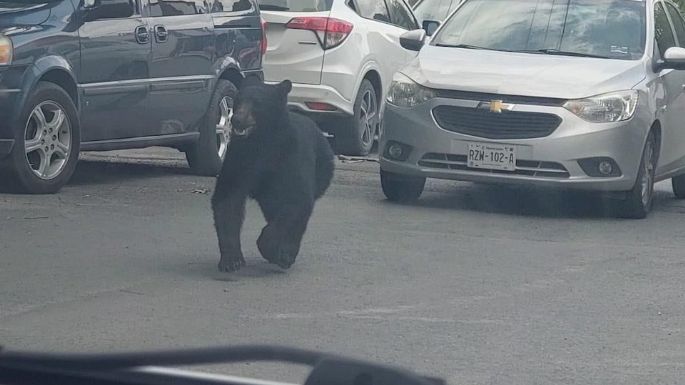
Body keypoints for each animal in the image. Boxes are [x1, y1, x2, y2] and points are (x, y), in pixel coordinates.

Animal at [211, 79, 334, 270]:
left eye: (257, 103)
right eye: (239, 100)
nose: (236, 119)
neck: (262, 142)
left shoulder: (291, 157)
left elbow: (296, 199)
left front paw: (272, 248)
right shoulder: (239, 159)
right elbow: (228, 198)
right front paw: (232, 259)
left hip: (322, 172)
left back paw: (288, 253)